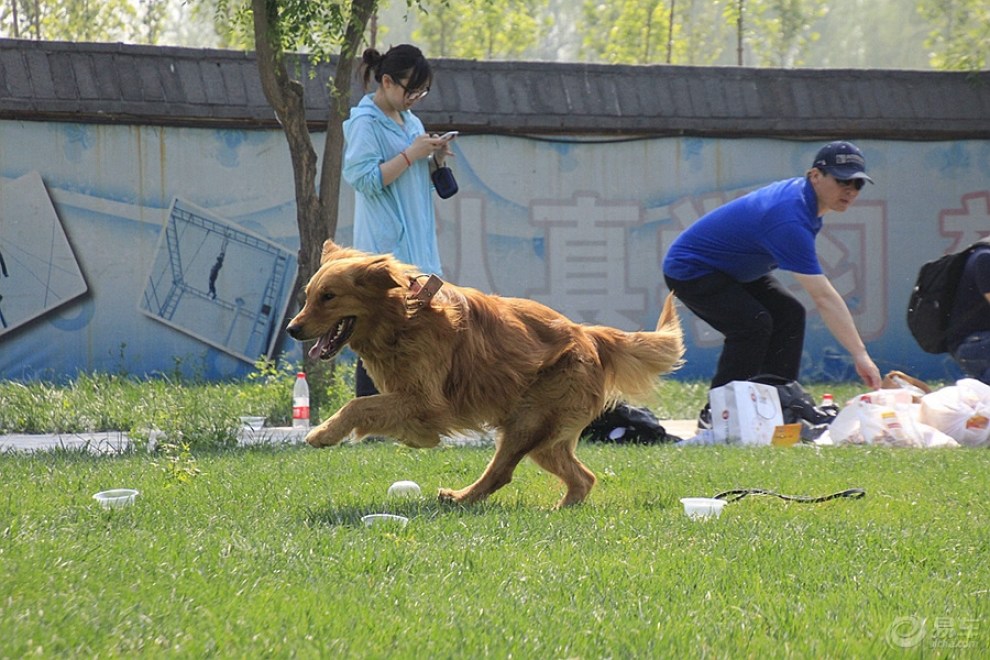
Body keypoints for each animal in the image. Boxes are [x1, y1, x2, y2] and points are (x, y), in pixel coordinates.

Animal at [290, 240, 684, 508]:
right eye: (308, 295)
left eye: (328, 296)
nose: (293, 329)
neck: (403, 316)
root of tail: (588, 334)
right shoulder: (412, 400)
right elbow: (381, 413)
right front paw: (409, 439)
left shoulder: (427, 402)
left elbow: (358, 405)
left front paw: (324, 433)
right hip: (544, 438)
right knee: (583, 477)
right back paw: (558, 509)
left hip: (528, 422)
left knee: (502, 472)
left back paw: (462, 498)